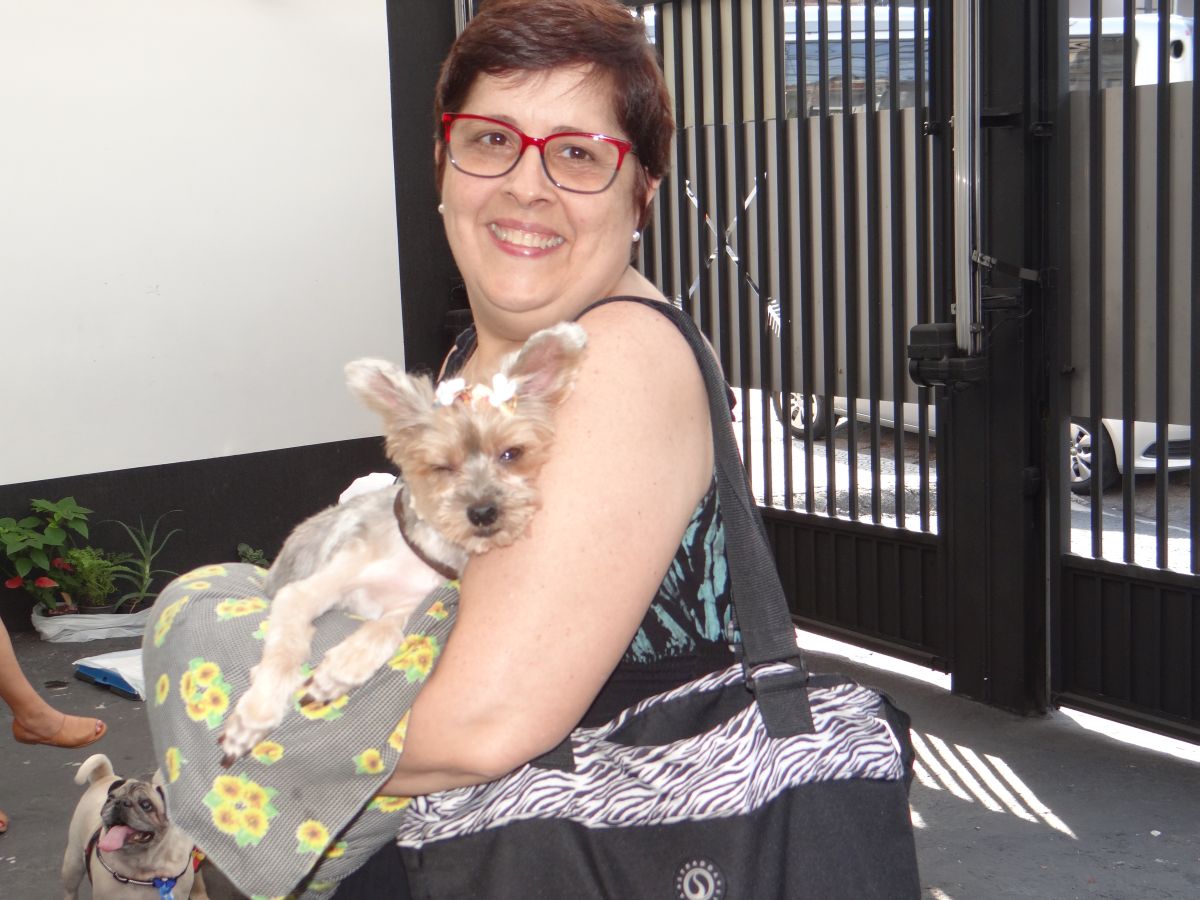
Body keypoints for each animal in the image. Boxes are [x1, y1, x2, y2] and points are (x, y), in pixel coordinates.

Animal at [61, 753, 207, 900]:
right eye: (110, 799)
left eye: (146, 805)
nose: (121, 802)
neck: (143, 864)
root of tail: (103, 777)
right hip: (73, 863)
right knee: (70, 890)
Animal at [217, 321, 588, 765]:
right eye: (441, 467)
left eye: (511, 453)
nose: (484, 511)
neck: (425, 551)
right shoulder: (311, 588)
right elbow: (286, 649)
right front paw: (256, 715)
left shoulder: (413, 602)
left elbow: (390, 630)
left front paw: (342, 667)